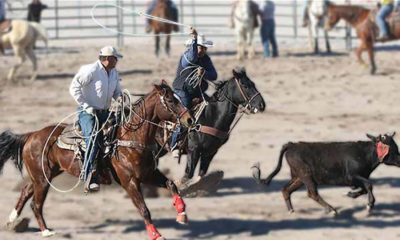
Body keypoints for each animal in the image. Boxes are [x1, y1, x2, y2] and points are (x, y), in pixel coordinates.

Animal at [0, 81, 194, 240]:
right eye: (170, 101)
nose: (190, 119)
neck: (130, 137)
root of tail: (31, 135)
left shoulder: (148, 174)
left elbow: (171, 184)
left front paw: (182, 214)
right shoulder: (129, 181)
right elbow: (144, 209)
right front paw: (156, 235)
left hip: (44, 175)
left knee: (26, 190)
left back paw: (12, 219)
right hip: (42, 179)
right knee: (36, 203)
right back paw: (46, 231)